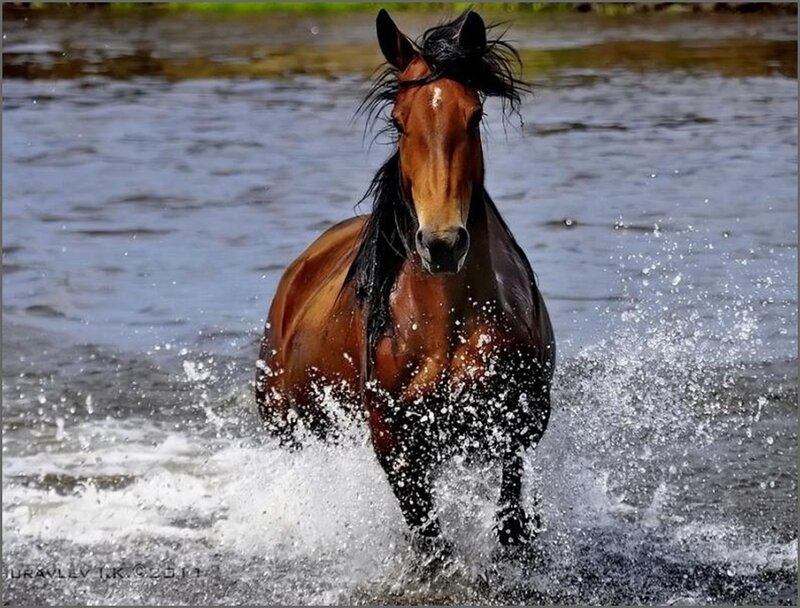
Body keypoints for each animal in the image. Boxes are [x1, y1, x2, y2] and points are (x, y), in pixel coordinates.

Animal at [256, 9, 555, 551]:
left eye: (474, 115)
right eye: (398, 121)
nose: (442, 244)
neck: (447, 327)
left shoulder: (517, 432)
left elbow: (511, 527)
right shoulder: (395, 447)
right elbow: (431, 543)